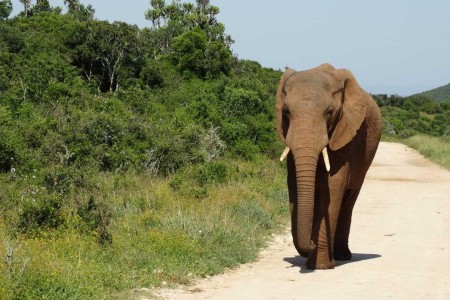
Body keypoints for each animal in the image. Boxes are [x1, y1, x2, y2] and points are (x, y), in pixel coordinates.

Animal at [276, 63, 382, 270]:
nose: (311, 244)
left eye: (329, 113)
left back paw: (342, 255)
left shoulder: (348, 131)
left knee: (349, 199)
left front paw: (321, 265)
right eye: (286, 112)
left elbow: (334, 184)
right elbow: (293, 182)